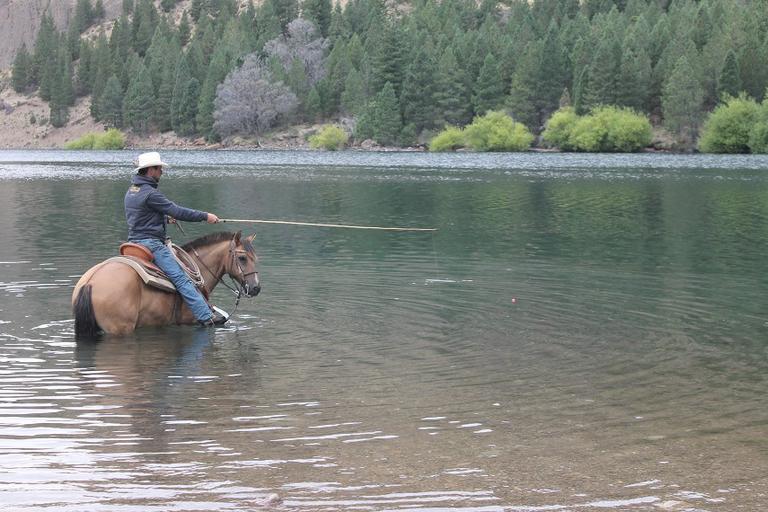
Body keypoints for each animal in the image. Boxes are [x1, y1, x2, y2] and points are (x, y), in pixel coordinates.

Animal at [71, 231, 260, 336]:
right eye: (242, 258)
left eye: (255, 257)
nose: (256, 288)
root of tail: (91, 282)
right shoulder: (190, 322)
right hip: (119, 328)